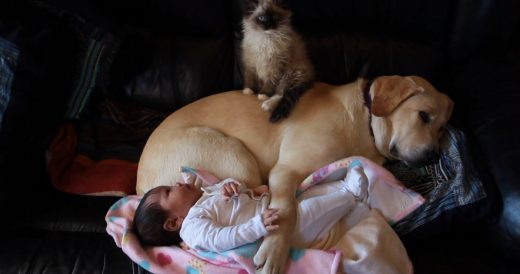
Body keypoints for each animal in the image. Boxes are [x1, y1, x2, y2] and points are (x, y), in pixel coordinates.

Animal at [136, 75, 452, 274]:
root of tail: (140, 185)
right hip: (237, 156)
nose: (434, 156)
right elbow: (286, 210)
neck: (364, 123)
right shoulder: (286, 171)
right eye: (423, 115)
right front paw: (275, 251)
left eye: (442, 129)